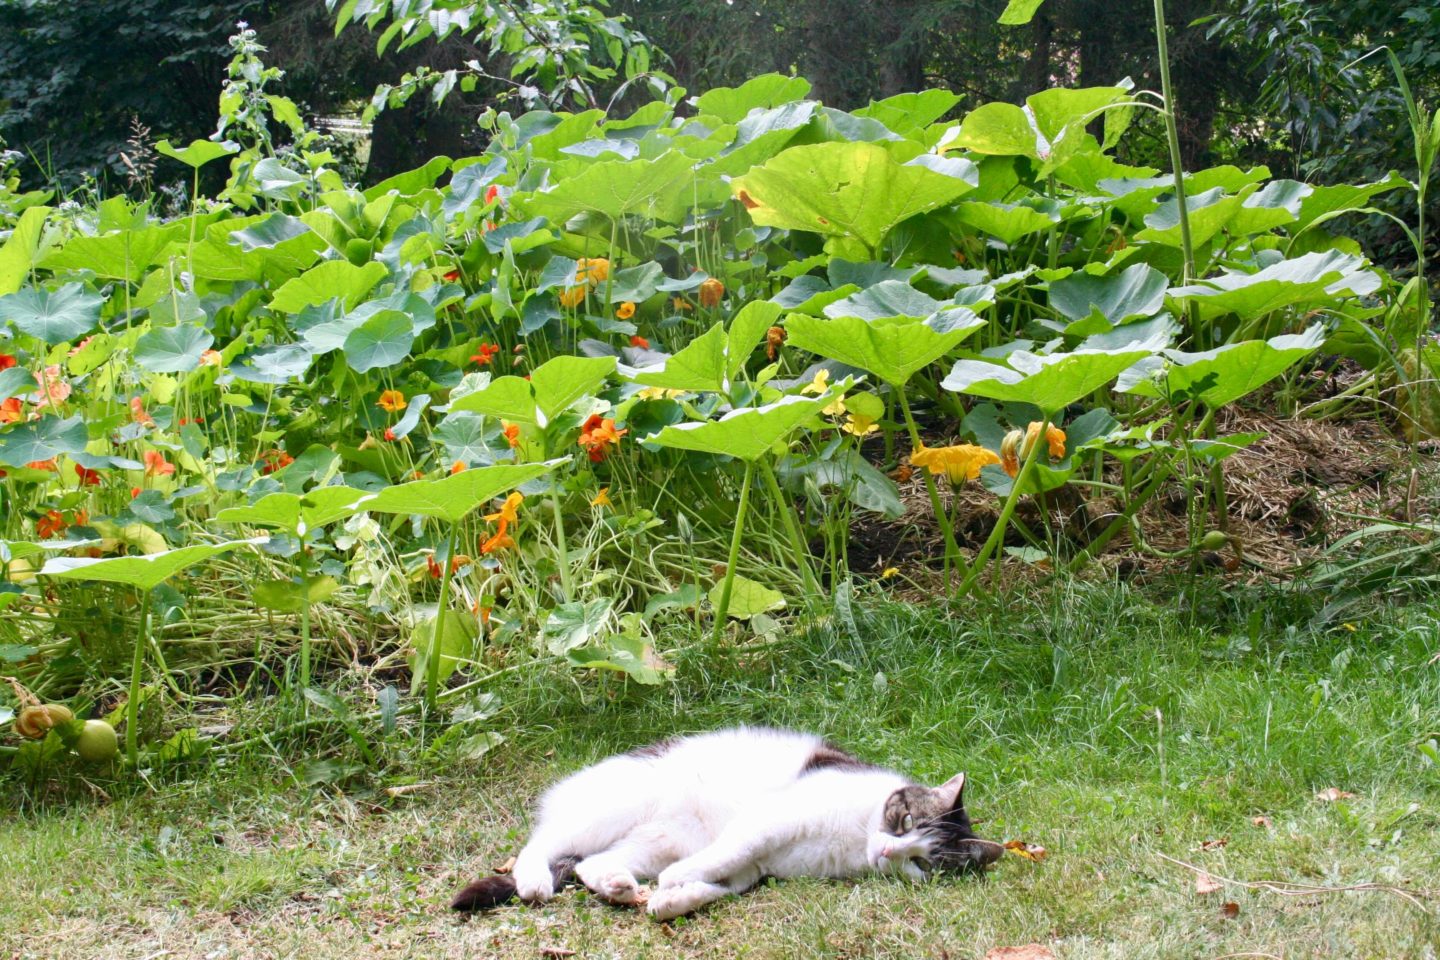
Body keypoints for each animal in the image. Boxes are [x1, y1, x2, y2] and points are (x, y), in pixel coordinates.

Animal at [449, 728, 1002, 921]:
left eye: (923, 866)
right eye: (904, 820)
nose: (888, 853)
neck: (857, 836)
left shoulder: (758, 866)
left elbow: (724, 883)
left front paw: (676, 900)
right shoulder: (766, 823)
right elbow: (727, 853)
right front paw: (677, 887)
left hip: (658, 840)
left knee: (592, 866)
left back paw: (620, 887)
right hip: (609, 810)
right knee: (541, 845)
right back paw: (535, 881)